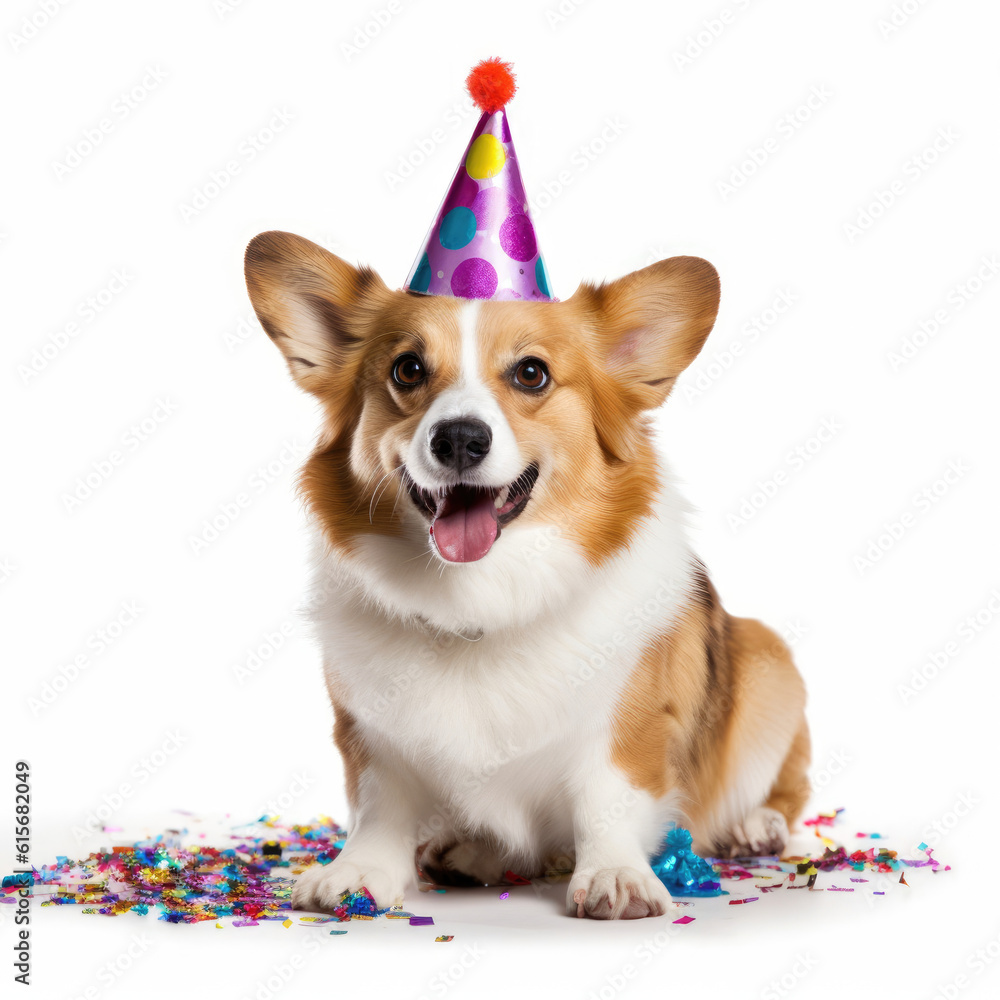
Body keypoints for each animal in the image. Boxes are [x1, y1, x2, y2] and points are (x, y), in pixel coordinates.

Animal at [244, 230, 812, 916]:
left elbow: (606, 799)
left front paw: (616, 876)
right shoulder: (372, 733)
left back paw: (755, 825)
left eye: (531, 373)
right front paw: (358, 871)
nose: (459, 439)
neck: (481, 600)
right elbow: (381, 804)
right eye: (408, 369)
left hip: (768, 662)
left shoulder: (624, 728)